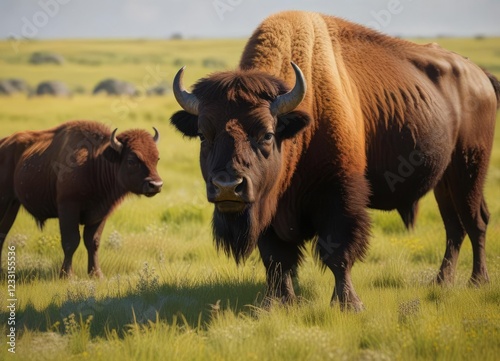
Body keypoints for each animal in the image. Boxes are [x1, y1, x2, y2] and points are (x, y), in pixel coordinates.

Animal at [0, 120, 163, 276]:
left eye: (156, 158)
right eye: (131, 160)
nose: (156, 185)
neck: (95, 162)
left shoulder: (100, 213)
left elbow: (93, 242)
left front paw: (96, 275)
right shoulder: (68, 208)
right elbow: (71, 242)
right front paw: (67, 275)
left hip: (13, 205)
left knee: (3, 232)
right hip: (5, 201)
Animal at [170, 11, 498, 310]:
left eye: (266, 134)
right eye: (203, 135)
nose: (228, 186)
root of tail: (480, 75)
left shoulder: (340, 196)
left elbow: (338, 253)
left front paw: (349, 304)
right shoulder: (269, 207)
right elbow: (276, 258)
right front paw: (278, 303)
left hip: (469, 169)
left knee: (475, 221)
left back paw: (477, 281)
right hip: (445, 180)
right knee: (454, 227)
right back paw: (441, 282)